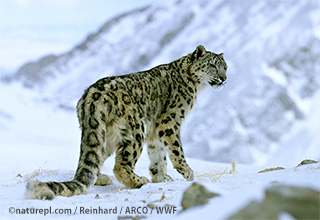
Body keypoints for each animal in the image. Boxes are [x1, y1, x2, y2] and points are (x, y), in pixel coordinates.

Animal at [25, 44, 226, 199]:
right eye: (213, 65)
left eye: (226, 67)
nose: (224, 78)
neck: (195, 86)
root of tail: (91, 97)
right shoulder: (169, 121)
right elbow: (176, 149)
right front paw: (187, 172)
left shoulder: (154, 132)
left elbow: (158, 154)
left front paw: (161, 178)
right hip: (135, 130)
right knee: (121, 166)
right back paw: (139, 181)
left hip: (104, 135)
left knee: (92, 161)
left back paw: (102, 178)